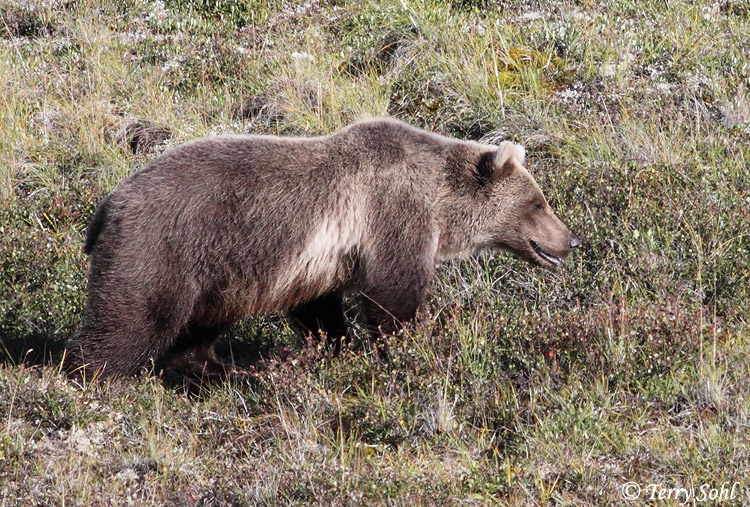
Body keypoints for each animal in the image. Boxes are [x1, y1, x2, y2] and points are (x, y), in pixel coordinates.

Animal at [67, 118, 580, 379]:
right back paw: (96, 378)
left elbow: (318, 307)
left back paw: (219, 369)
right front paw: (409, 348)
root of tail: (107, 204)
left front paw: (337, 345)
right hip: (163, 248)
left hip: (217, 273)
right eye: (538, 203)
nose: (570, 239)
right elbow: (393, 297)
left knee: (198, 326)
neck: (438, 202)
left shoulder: (322, 261)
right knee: (133, 319)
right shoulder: (393, 215)